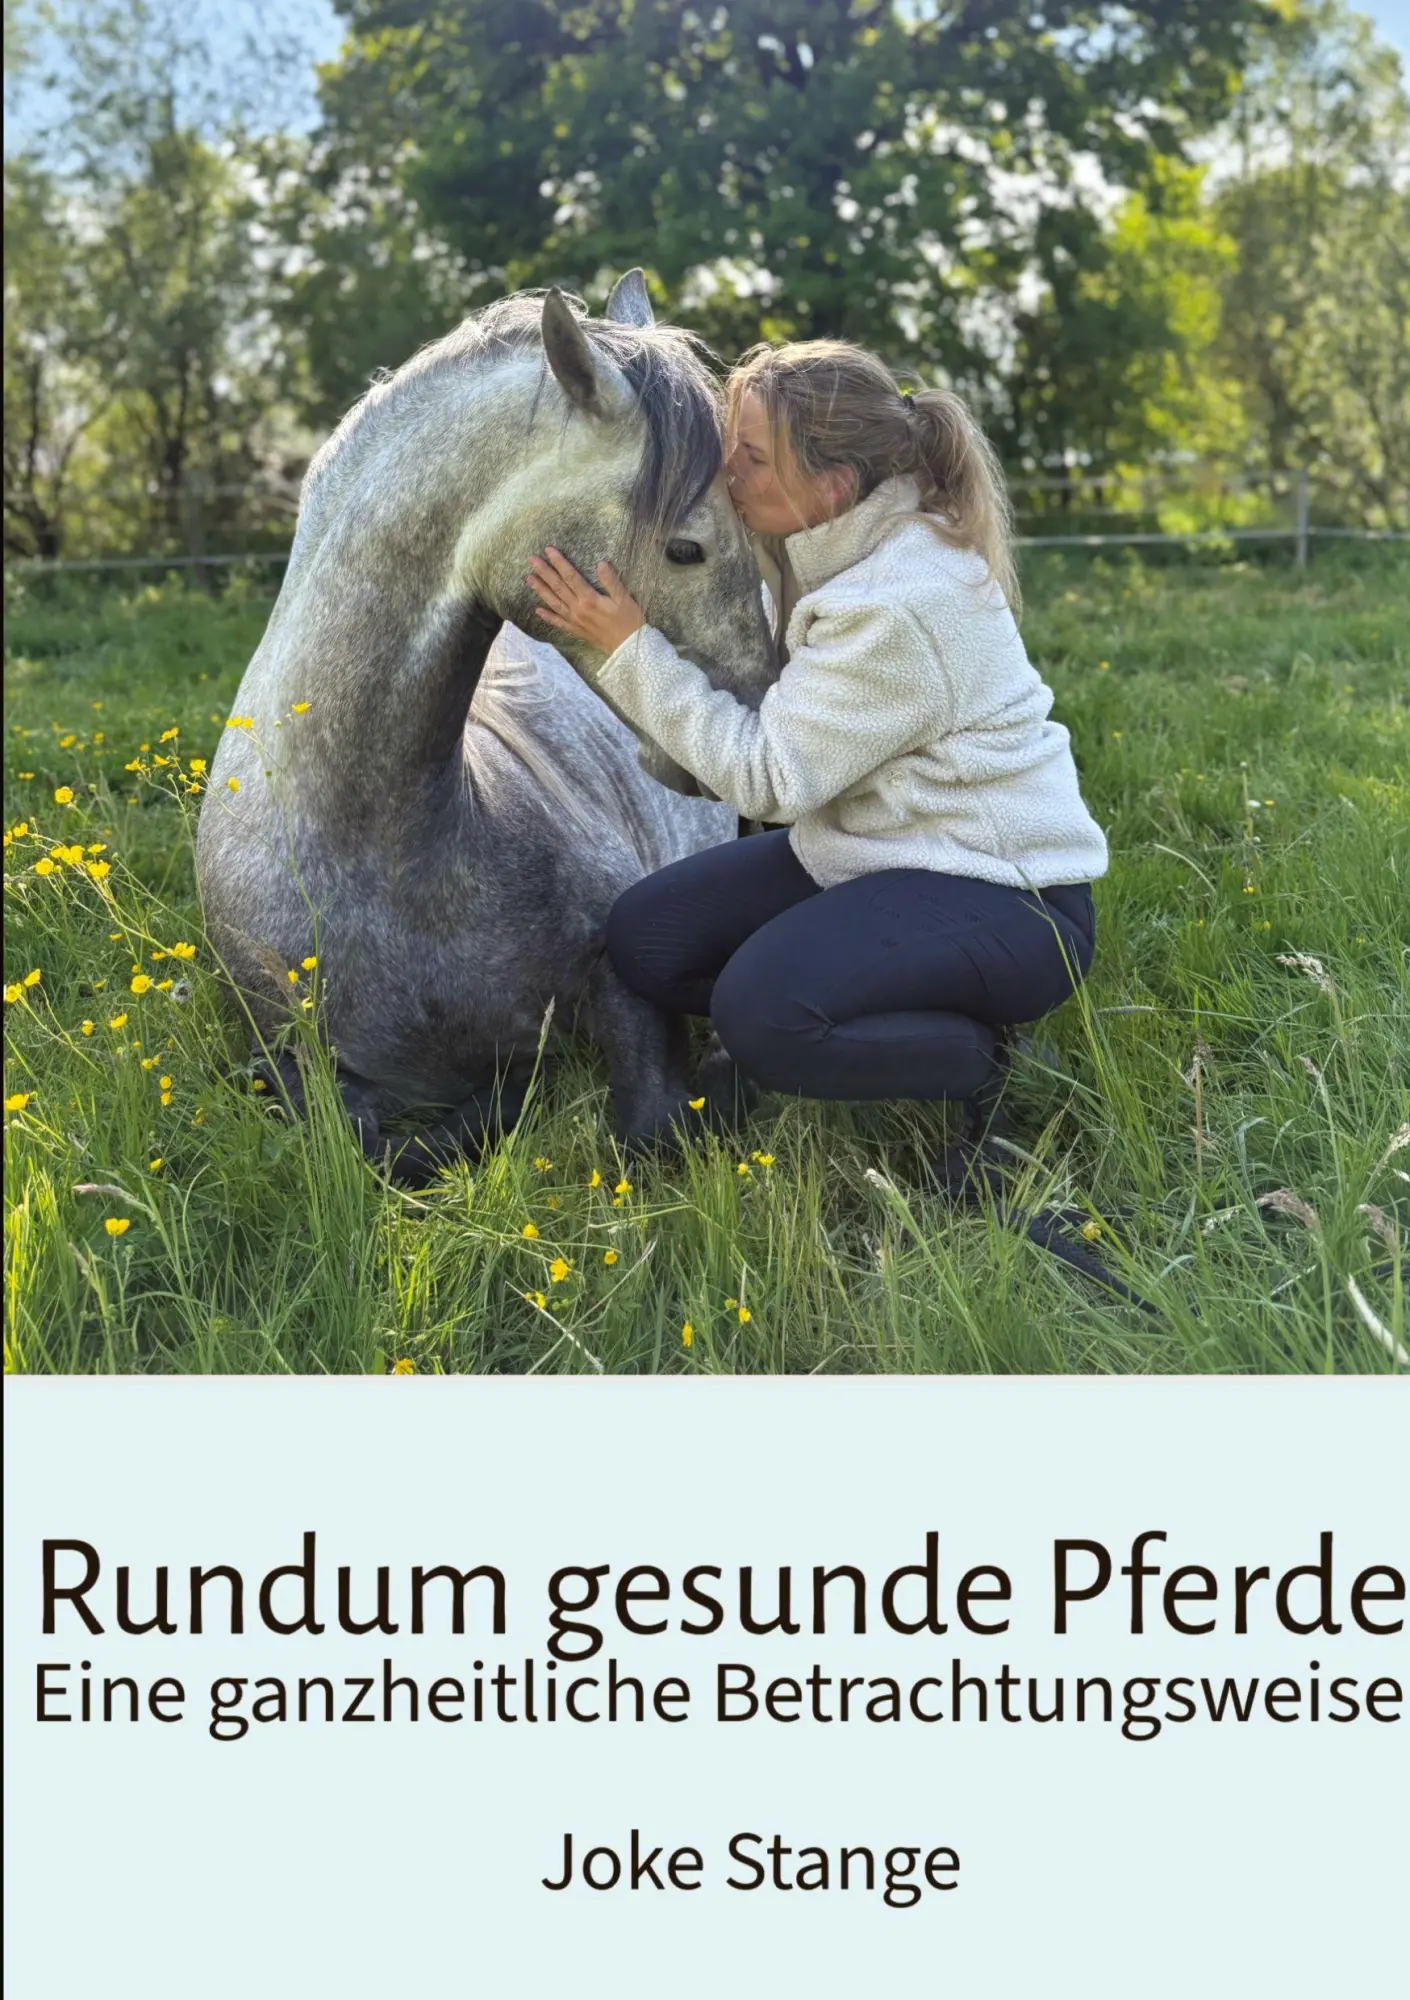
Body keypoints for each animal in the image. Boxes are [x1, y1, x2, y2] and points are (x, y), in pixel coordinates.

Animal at [196, 272, 776, 1182]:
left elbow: (651, 1125)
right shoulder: (296, 1056)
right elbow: (355, 1134)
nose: (763, 708)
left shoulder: (622, 975)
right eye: (686, 548)